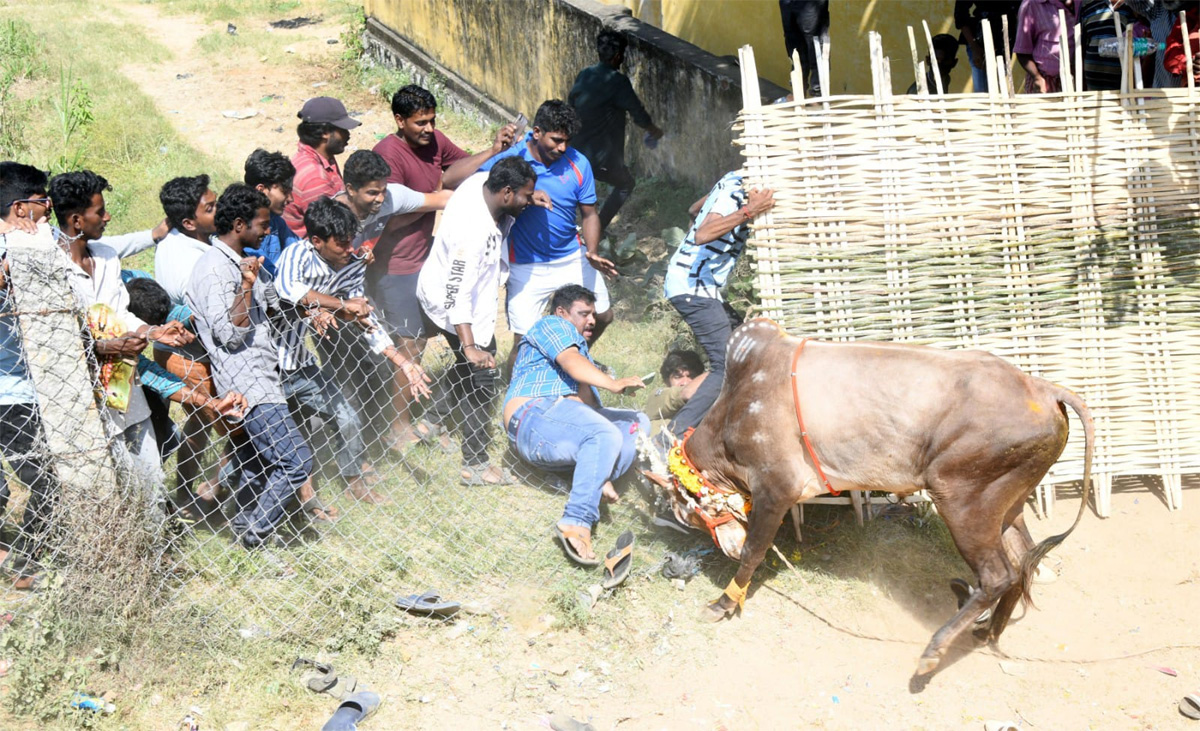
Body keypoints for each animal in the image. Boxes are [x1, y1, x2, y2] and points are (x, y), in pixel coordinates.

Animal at [652, 319, 1094, 672]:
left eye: (687, 510)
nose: (723, 547)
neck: (735, 408)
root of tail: (1043, 388)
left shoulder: (775, 489)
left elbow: (754, 553)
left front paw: (723, 603)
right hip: (1006, 505)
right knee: (1022, 568)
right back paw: (987, 634)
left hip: (962, 498)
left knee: (998, 575)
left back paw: (933, 652)